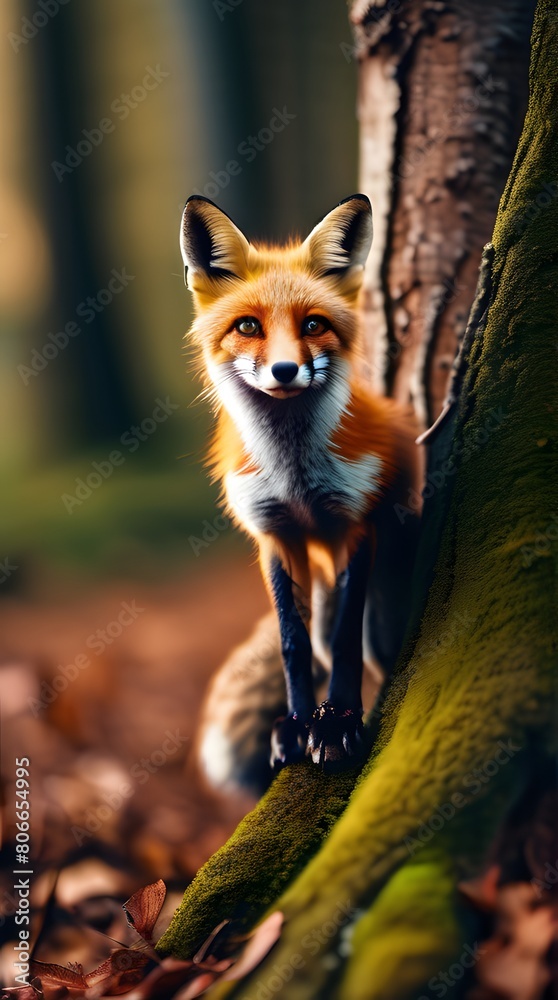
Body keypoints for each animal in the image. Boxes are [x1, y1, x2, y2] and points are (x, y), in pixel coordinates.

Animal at [180, 194, 422, 772]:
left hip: (382, 605)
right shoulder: (275, 535)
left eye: (313, 325)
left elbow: (345, 638)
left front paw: (337, 721)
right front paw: (295, 724)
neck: (295, 476)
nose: (286, 371)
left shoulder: (354, 525)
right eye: (248, 327)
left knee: (368, 649)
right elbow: (294, 642)